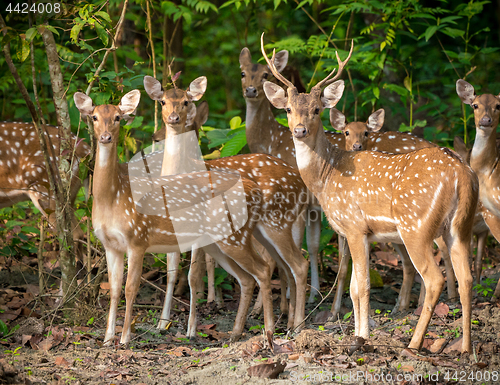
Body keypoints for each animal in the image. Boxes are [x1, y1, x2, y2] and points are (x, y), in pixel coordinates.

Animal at [143, 75, 310, 332]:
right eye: (162, 101)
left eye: (185, 102)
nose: (172, 119)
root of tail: (301, 184)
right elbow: (171, 272)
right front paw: (163, 323)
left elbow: (193, 273)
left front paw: (192, 327)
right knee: (285, 265)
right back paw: (284, 318)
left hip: (274, 223)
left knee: (291, 264)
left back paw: (290, 323)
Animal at [260, 34, 478, 352]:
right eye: (288, 109)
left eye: (317, 110)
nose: (299, 130)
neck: (327, 176)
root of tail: (462, 175)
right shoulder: (360, 232)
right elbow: (352, 287)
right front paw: (357, 333)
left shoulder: (354, 226)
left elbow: (361, 286)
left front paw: (361, 337)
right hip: (460, 226)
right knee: (468, 278)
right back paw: (465, 348)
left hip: (416, 225)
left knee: (434, 278)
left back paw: (414, 343)